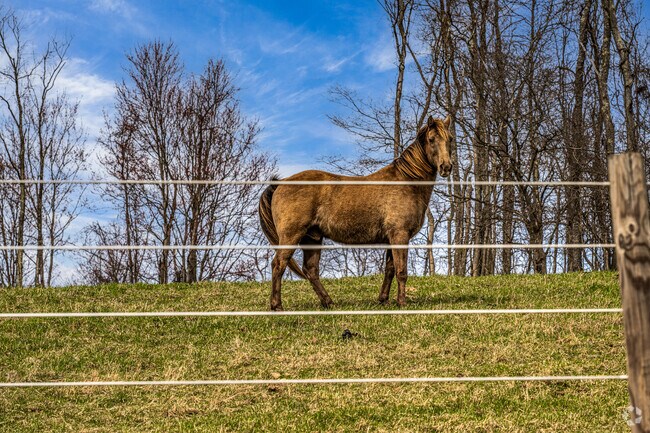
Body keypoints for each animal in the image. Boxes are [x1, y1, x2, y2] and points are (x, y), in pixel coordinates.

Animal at [258, 115, 452, 310]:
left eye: (450, 139)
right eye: (431, 139)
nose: (446, 167)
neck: (407, 182)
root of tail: (280, 183)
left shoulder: (391, 238)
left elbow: (389, 269)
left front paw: (383, 299)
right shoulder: (400, 235)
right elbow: (401, 271)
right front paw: (402, 303)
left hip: (312, 239)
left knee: (310, 270)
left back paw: (328, 302)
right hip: (291, 236)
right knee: (279, 264)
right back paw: (277, 306)